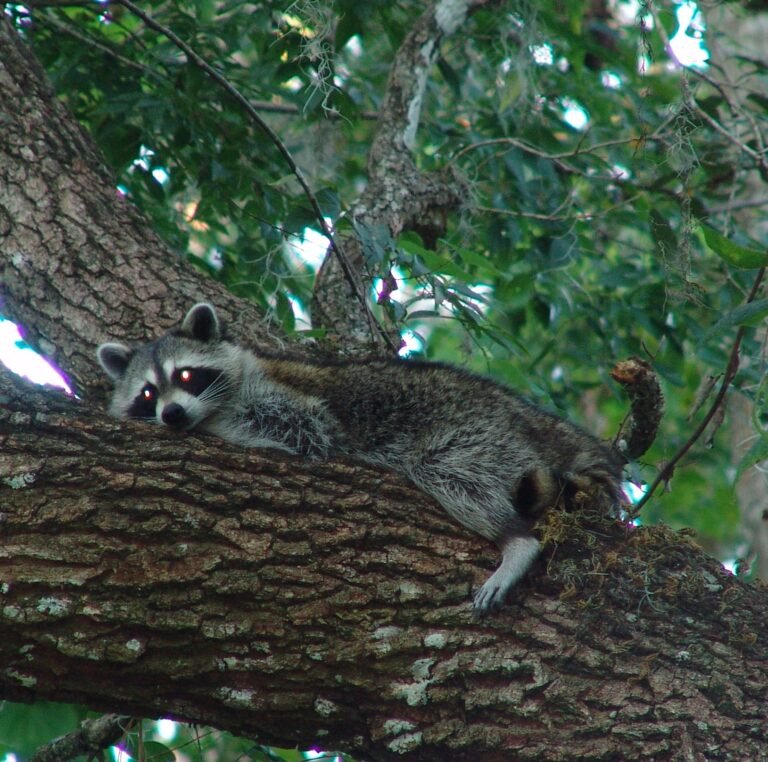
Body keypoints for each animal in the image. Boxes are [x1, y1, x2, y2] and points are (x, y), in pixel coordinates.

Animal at [97, 303, 624, 615]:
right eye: (148, 393)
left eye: (186, 376)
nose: (173, 415)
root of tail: (537, 421)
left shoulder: (285, 400)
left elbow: (306, 429)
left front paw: (211, 426)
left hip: (478, 434)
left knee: (454, 475)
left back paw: (514, 541)